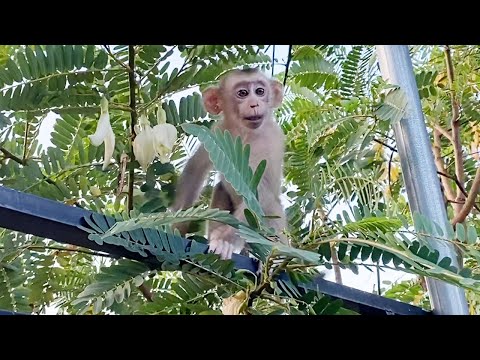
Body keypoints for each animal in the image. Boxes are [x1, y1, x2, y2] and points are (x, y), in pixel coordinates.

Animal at [171, 68, 286, 258]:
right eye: (243, 93)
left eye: (260, 91)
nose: (254, 103)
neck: (243, 133)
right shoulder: (217, 132)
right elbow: (196, 167)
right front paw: (176, 223)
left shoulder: (268, 141)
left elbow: (258, 195)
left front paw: (225, 241)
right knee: (221, 189)